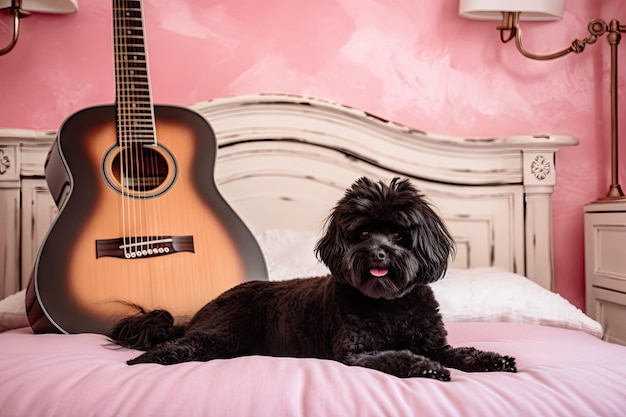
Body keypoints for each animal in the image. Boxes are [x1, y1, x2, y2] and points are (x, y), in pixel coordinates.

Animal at [109, 177, 516, 378]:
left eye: (400, 235)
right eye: (362, 234)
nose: (378, 253)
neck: (389, 306)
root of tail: (199, 313)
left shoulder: (435, 342)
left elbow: (460, 353)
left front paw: (493, 360)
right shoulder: (356, 353)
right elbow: (397, 356)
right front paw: (425, 368)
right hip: (224, 328)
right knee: (183, 345)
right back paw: (146, 361)